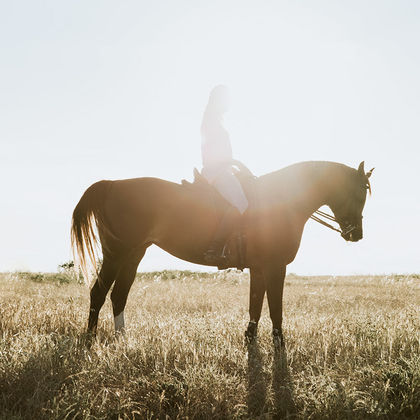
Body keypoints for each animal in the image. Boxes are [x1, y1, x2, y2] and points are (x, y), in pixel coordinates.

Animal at [71, 159, 374, 346]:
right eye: (359, 192)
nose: (356, 234)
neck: (280, 201)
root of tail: (113, 184)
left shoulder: (259, 268)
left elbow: (256, 305)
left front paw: (250, 339)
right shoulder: (275, 267)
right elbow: (275, 308)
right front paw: (279, 344)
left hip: (133, 255)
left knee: (118, 295)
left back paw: (122, 339)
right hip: (116, 254)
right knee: (98, 293)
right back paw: (90, 339)